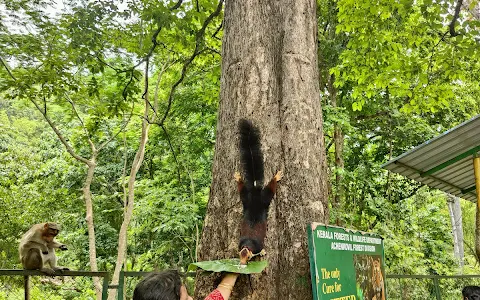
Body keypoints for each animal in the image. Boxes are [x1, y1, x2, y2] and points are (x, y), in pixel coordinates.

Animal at [235, 119, 284, 262]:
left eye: (248, 257)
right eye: (239, 256)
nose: (242, 264)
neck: (248, 243)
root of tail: (255, 192)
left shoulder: (257, 245)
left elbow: (260, 249)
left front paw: (262, 253)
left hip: (262, 200)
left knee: (269, 190)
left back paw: (276, 177)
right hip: (248, 200)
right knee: (243, 190)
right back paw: (238, 177)